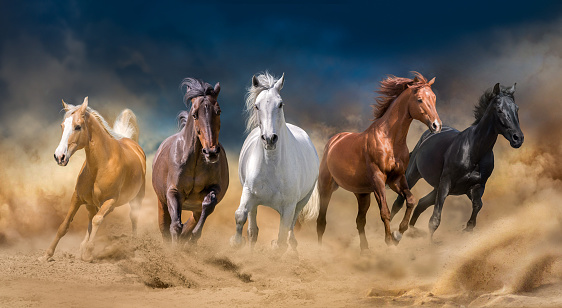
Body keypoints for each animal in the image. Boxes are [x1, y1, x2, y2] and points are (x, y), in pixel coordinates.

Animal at [38, 97, 144, 262]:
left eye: (78, 127)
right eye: (62, 125)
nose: (59, 156)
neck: (101, 166)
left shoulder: (110, 201)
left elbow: (97, 220)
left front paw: (88, 254)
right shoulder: (77, 198)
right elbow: (65, 224)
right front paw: (47, 255)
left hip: (137, 199)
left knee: (133, 218)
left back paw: (133, 247)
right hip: (90, 203)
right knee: (90, 217)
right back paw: (82, 246)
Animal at [151, 78, 228, 244]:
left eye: (218, 111)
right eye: (195, 115)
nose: (211, 152)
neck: (195, 162)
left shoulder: (214, 189)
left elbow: (208, 204)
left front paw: (193, 235)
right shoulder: (173, 192)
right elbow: (175, 226)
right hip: (161, 203)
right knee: (164, 228)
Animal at [229, 72, 318, 253]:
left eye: (280, 104)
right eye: (257, 106)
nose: (270, 138)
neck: (272, 166)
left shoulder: (289, 207)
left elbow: (282, 237)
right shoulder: (248, 193)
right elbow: (240, 216)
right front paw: (236, 243)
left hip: (301, 202)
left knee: (290, 229)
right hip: (255, 203)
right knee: (253, 229)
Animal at [316, 73, 442, 253]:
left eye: (434, 98)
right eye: (419, 99)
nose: (436, 125)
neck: (390, 139)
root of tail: (334, 141)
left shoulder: (397, 179)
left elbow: (410, 200)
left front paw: (398, 233)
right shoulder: (378, 180)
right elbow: (385, 211)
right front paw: (389, 240)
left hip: (362, 194)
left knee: (359, 221)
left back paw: (365, 250)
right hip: (326, 188)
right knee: (321, 221)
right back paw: (319, 250)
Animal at [390, 83, 520, 239]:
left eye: (517, 109)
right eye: (499, 110)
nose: (518, 138)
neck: (474, 152)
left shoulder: (475, 187)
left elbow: (478, 205)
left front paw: (468, 228)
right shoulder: (446, 183)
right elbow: (435, 219)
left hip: (437, 187)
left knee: (421, 203)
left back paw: (410, 231)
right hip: (413, 175)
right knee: (398, 203)